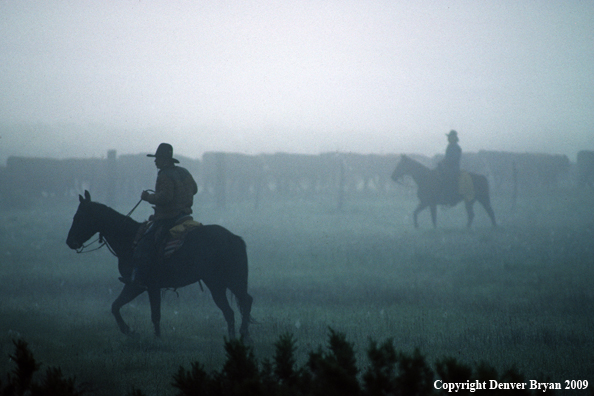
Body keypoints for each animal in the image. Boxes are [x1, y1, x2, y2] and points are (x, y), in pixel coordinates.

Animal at [66, 191, 252, 340]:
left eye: (78, 217)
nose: (69, 242)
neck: (130, 239)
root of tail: (234, 238)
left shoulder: (142, 285)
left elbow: (152, 313)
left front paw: (142, 334)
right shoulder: (140, 286)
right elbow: (117, 306)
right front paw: (133, 331)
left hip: (219, 283)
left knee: (235, 308)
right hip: (227, 282)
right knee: (238, 307)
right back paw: (238, 336)